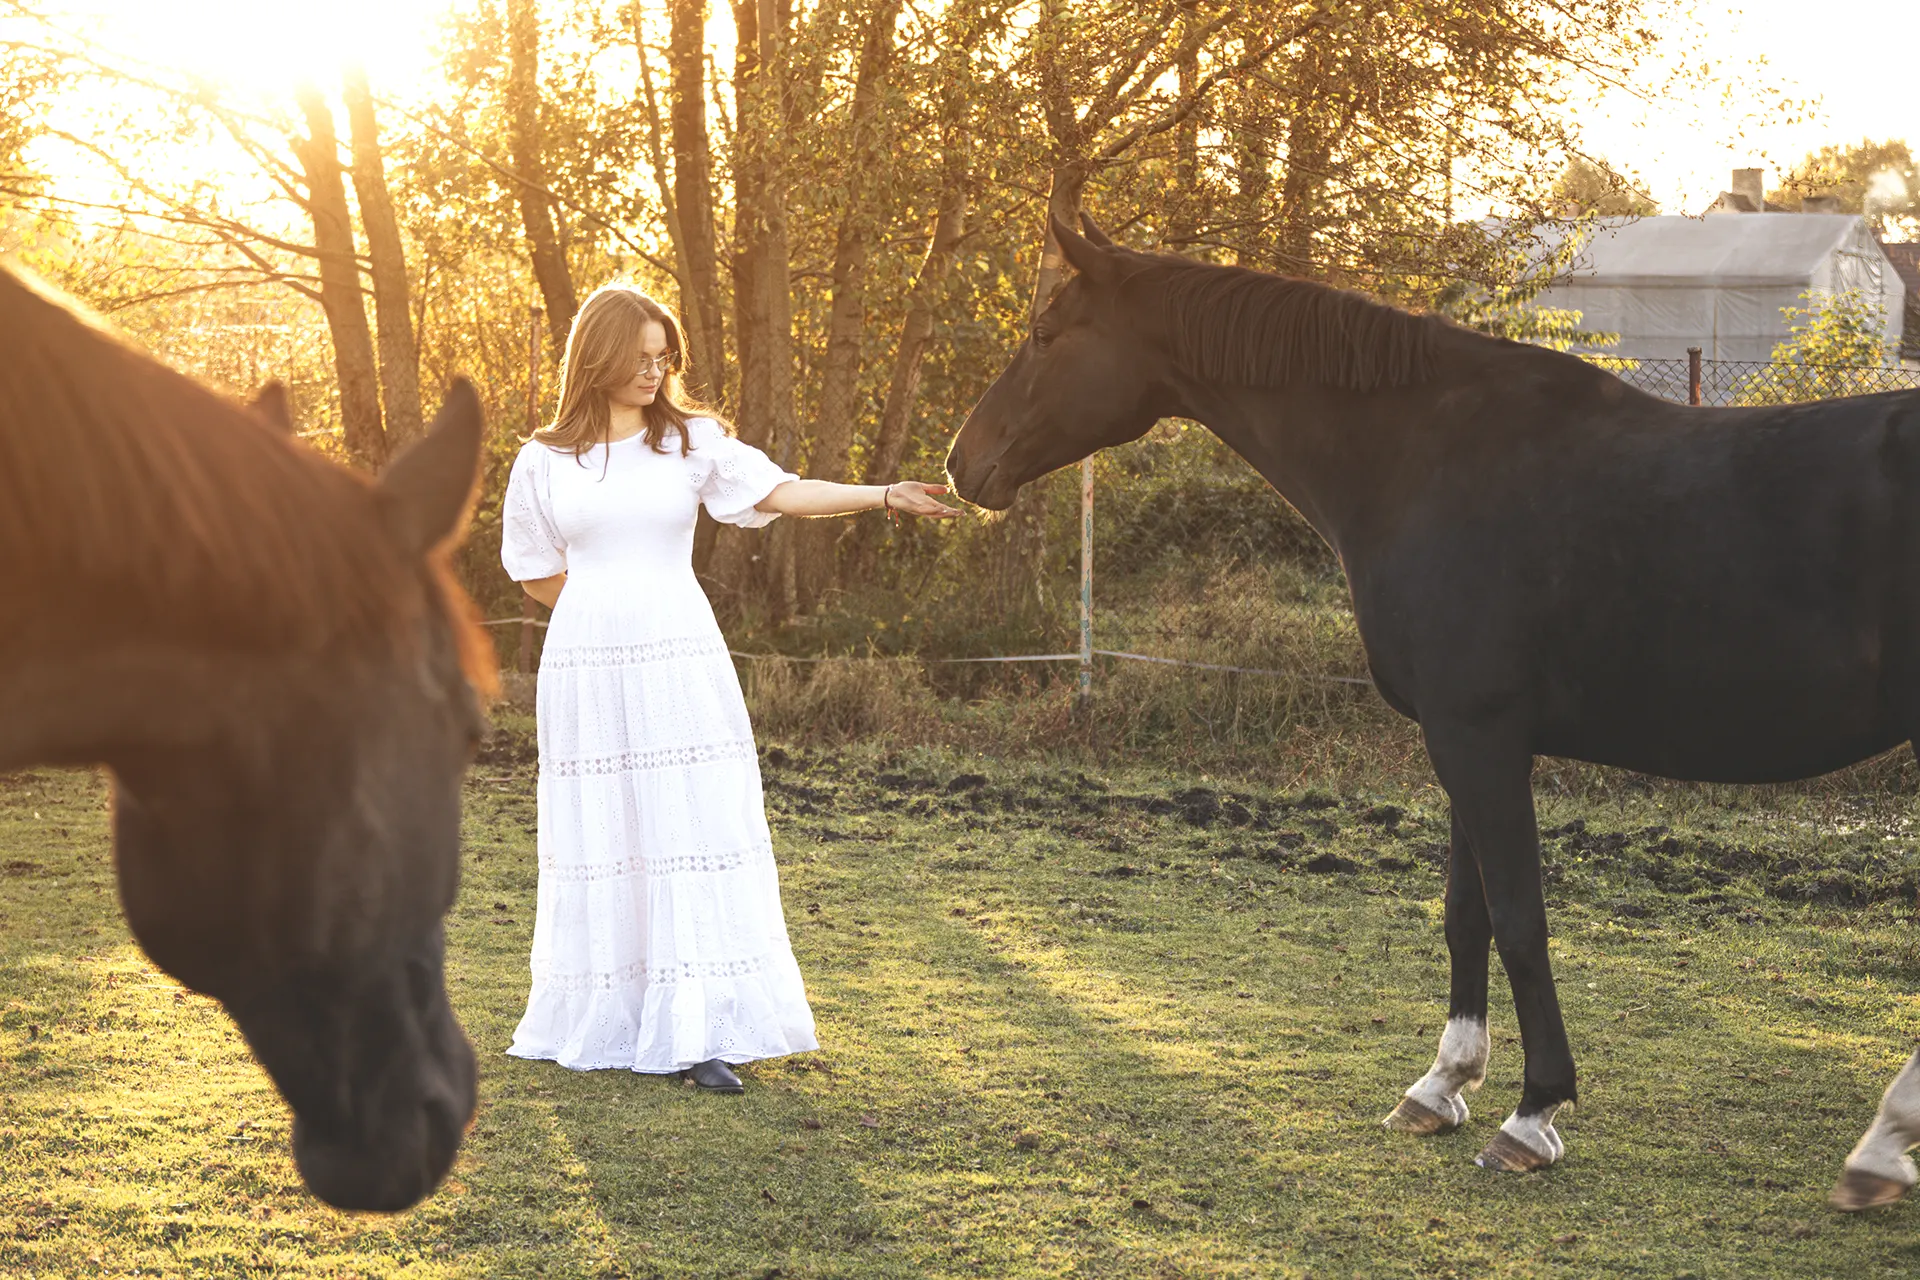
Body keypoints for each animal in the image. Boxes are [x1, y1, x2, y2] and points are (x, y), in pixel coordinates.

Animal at [944, 215, 1920, 1212]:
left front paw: (1533, 1114)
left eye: (1046, 333)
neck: (1425, 457)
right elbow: (1467, 913)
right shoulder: (1460, 741)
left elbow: (1519, 918)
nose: (960, 462)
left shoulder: (1479, 739)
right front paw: (1442, 1084)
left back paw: (1884, 1142)